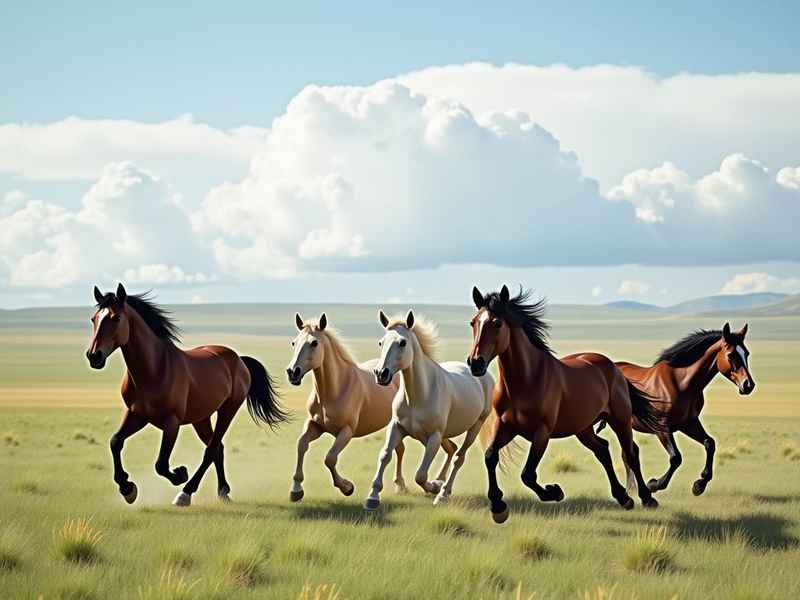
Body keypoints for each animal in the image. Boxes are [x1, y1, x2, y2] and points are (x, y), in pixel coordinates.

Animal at [85, 284, 288, 507]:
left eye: (116, 318)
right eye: (94, 319)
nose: (93, 356)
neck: (154, 369)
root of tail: (238, 359)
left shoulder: (171, 422)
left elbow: (161, 464)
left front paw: (179, 474)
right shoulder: (136, 415)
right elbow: (115, 442)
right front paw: (127, 488)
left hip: (228, 410)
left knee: (211, 450)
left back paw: (186, 493)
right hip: (201, 418)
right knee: (217, 449)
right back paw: (223, 490)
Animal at [287, 313, 458, 500]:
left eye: (314, 343)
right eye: (294, 342)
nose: (292, 372)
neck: (335, 389)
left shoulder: (346, 431)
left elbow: (330, 458)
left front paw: (347, 487)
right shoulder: (315, 425)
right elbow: (301, 445)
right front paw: (296, 490)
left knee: (450, 448)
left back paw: (438, 485)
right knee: (401, 450)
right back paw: (403, 486)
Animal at [364, 310, 494, 510]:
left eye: (402, 342)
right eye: (381, 342)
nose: (381, 374)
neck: (418, 396)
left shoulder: (434, 436)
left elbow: (420, 475)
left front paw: (434, 487)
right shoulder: (396, 427)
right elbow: (385, 455)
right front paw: (372, 497)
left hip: (475, 426)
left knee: (458, 457)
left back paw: (442, 492)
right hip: (439, 435)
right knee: (452, 449)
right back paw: (443, 485)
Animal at [468, 285, 663, 524]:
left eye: (497, 323)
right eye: (473, 322)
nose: (475, 363)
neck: (527, 380)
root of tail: (613, 367)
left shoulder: (542, 432)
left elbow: (527, 474)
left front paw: (554, 491)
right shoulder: (505, 426)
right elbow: (490, 456)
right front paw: (498, 506)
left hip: (620, 420)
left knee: (631, 453)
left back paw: (646, 498)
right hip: (583, 428)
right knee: (603, 450)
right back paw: (623, 497)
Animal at [604, 323, 755, 496]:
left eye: (746, 354)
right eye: (731, 355)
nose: (748, 385)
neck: (681, 384)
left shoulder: (688, 423)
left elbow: (709, 443)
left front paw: (699, 485)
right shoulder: (662, 429)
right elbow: (676, 458)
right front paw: (654, 484)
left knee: (629, 452)